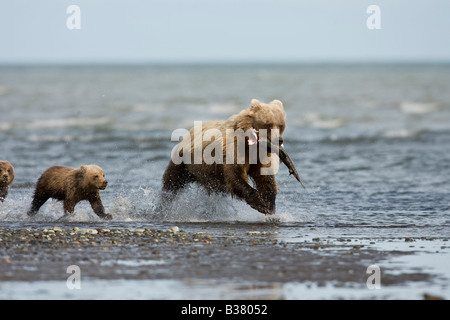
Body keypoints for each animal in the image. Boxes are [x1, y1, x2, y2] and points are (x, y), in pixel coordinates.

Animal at [160, 99, 304, 215]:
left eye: (281, 125)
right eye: (268, 124)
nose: (279, 140)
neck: (251, 144)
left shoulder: (259, 156)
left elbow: (265, 177)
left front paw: (269, 203)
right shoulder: (233, 149)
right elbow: (235, 175)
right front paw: (260, 203)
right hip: (184, 160)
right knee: (172, 182)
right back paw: (163, 204)